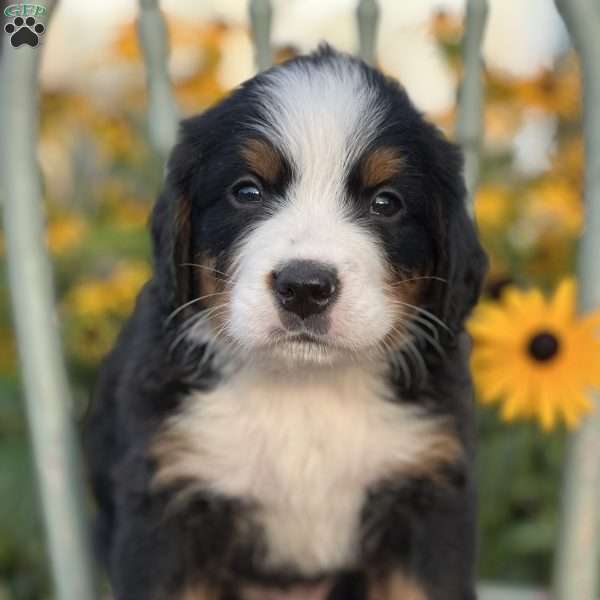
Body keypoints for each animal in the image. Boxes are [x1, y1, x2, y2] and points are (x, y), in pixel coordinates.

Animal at [85, 45, 488, 600]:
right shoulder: (168, 509)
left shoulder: (425, 499)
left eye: (386, 202)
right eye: (247, 192)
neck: (302, 390)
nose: (304, 288)